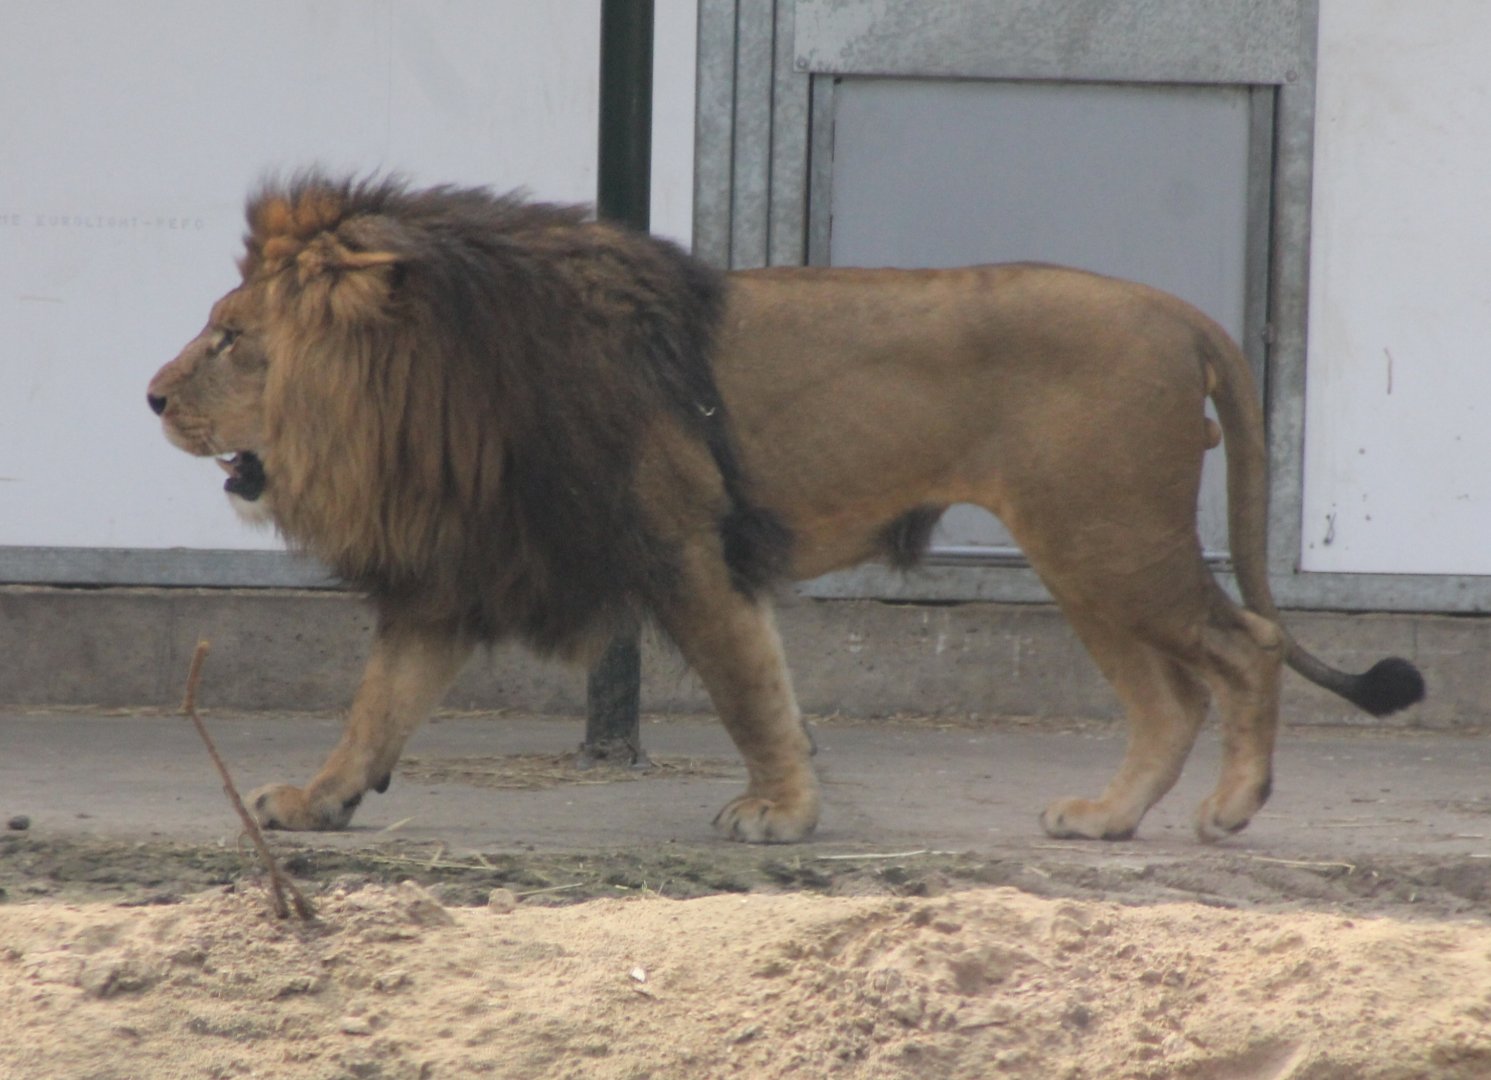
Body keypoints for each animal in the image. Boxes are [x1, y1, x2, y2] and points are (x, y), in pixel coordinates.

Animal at [147, 174, 1423, 844]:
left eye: (231, 341)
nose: (152, 397)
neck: (439, 388)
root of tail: (1180, 312)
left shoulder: (683, 546)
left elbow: (747, 688)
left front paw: (778, 813)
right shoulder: (455, 574)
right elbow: (376, 708)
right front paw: (315, 800)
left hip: (1107, 540)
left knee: (1247, 647)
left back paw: (1233, 809)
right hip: (1085, 555)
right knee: (1169, 696)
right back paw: (1109, 818)